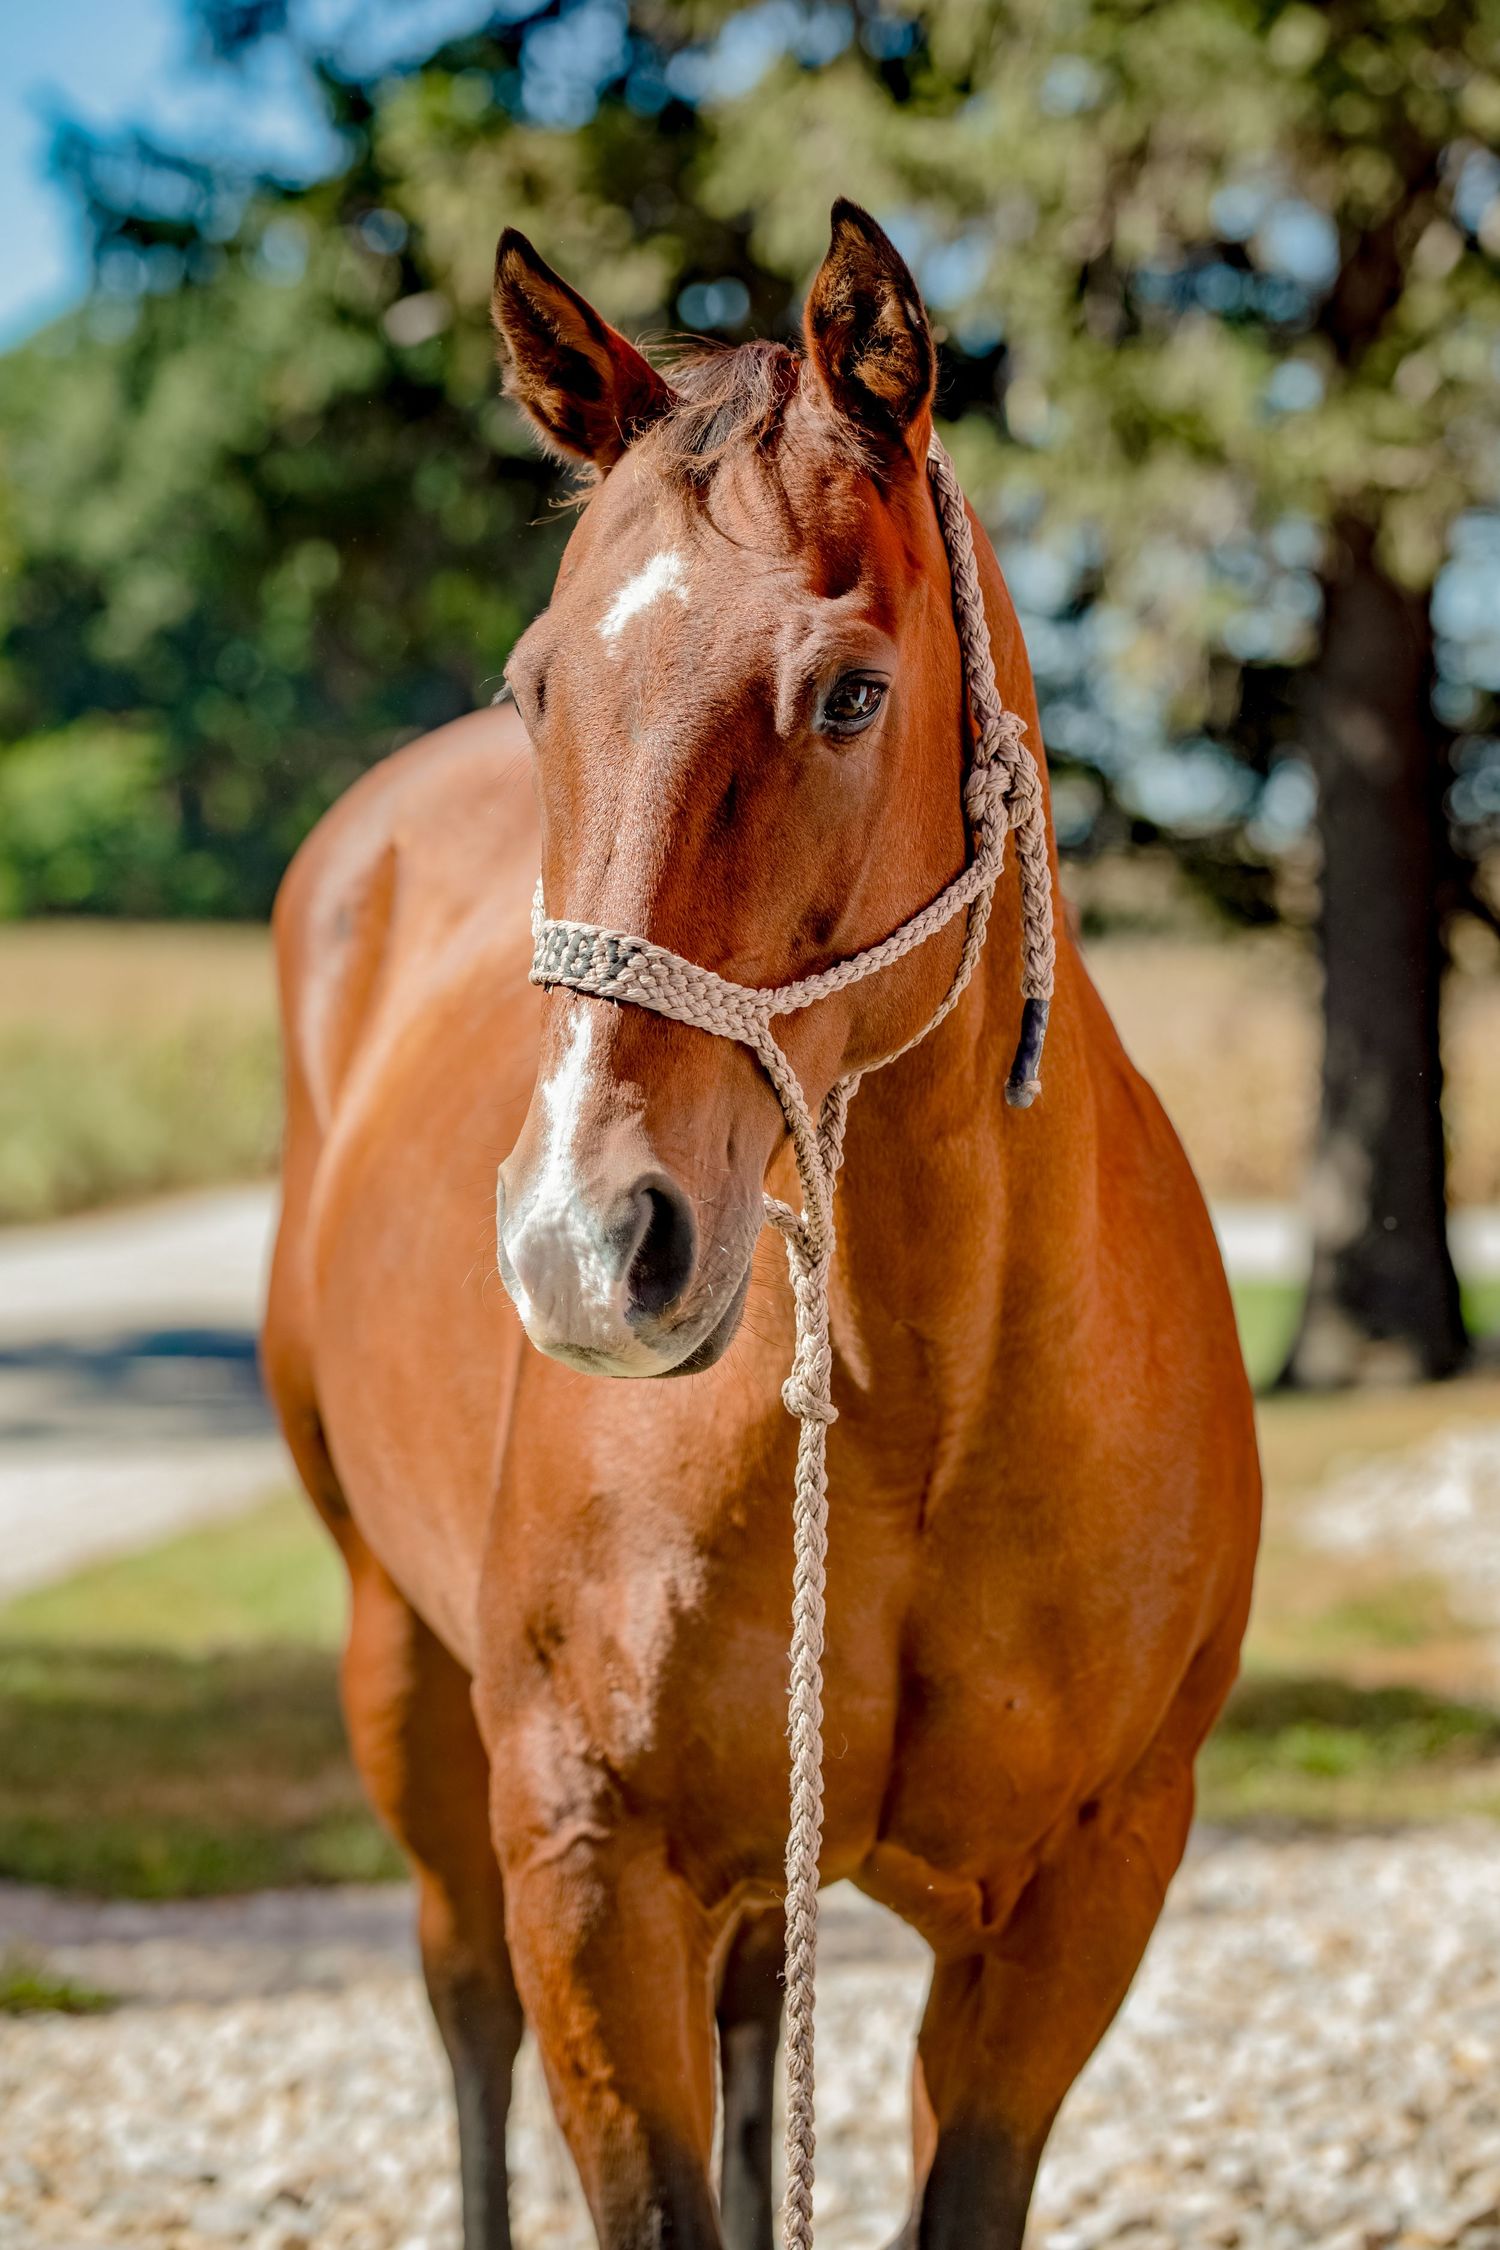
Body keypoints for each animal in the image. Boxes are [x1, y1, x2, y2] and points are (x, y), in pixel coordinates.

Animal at [263, 200, 1261, 2250]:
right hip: (401, 1668)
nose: (583, 1245)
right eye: (535, 690)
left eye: (852, 691)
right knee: (460, 2004)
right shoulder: (587, 1865)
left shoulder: (1082, 1893)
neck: (923, 1394)